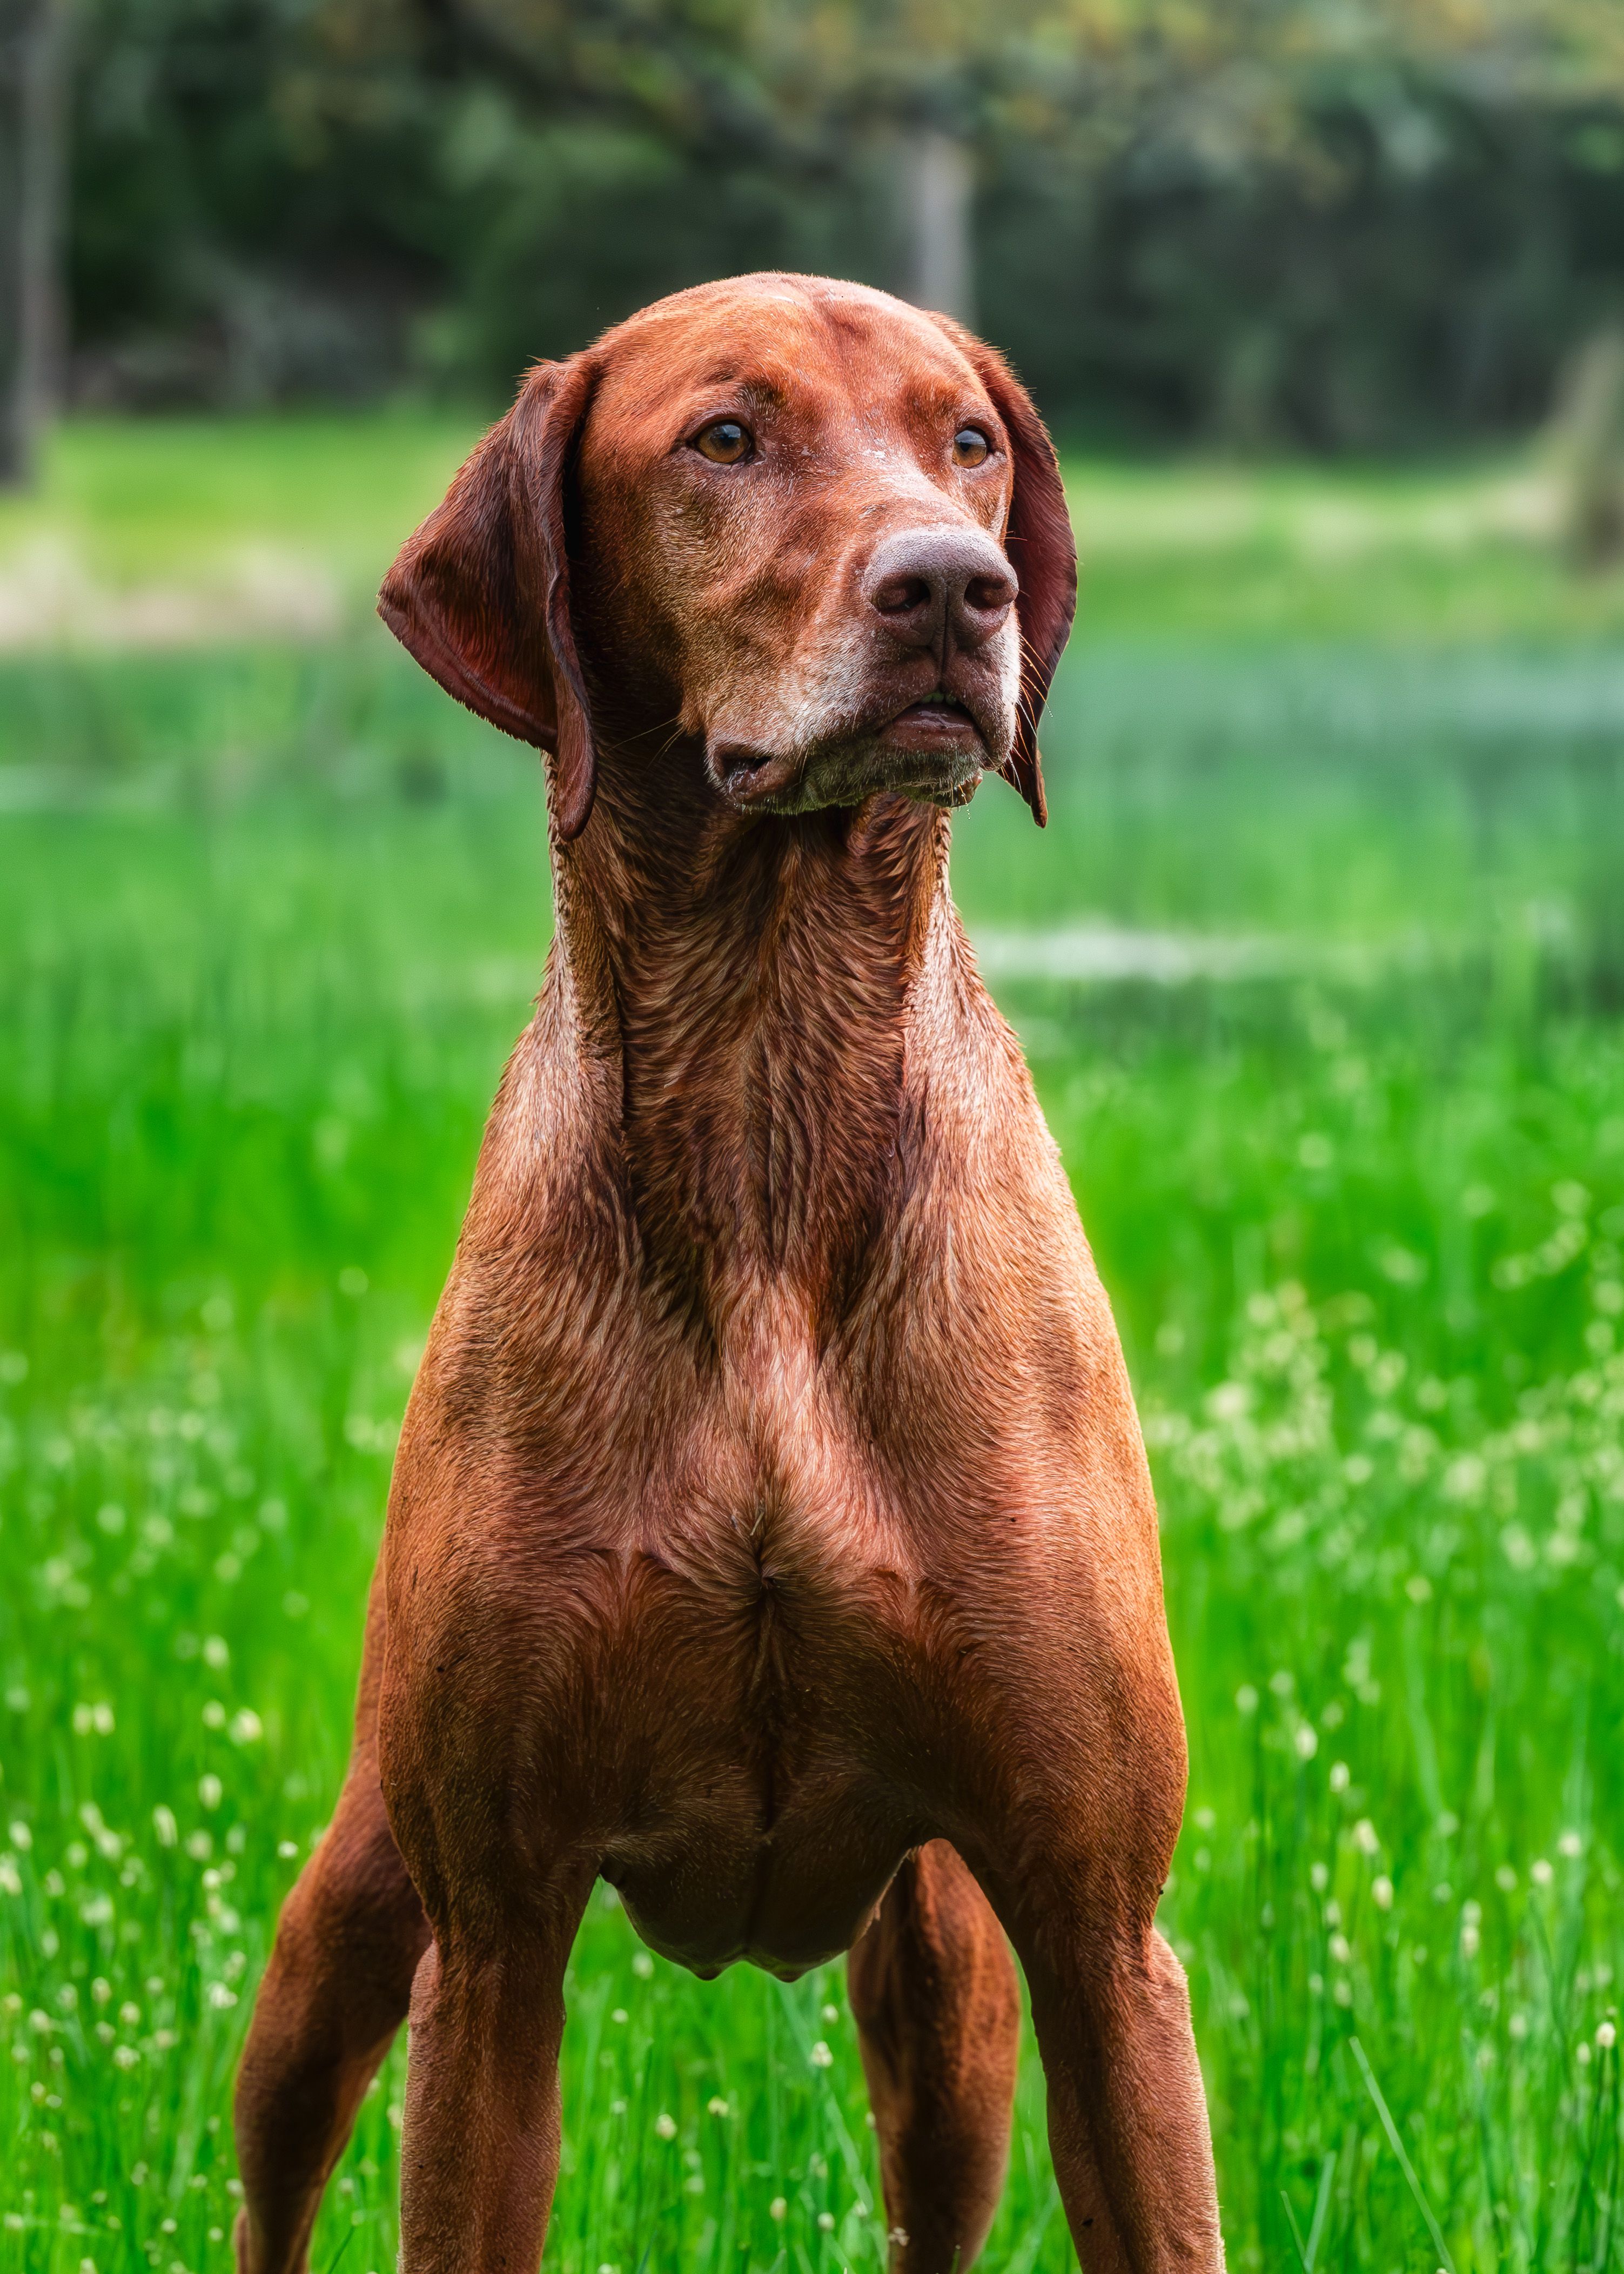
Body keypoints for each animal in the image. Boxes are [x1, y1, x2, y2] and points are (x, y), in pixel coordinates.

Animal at [233, 273, 1223, 2274]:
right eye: (724, 437)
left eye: (965, 440)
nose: (950, 588)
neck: (768, 1085)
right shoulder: (496, 1935)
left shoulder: (1096, 1930)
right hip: (354, 1901)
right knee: (278, 2153)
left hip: (948, 1988)